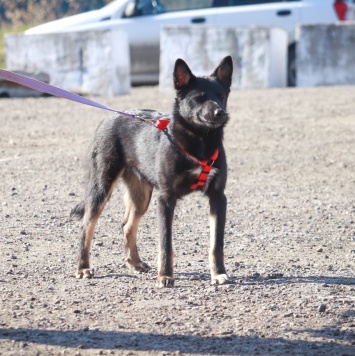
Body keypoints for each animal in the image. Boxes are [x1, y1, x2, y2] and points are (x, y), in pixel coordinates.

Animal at [71, 57, 235, 288]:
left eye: (220, 95)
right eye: (200, 97)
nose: (220, 113)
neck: (200, 141)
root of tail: (109, 118)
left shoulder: (218, 197)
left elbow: (216, 243)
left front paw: (218, 273)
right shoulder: (165, 199)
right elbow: (165, 243)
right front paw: (165, 276)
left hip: (141, 195)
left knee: (127, 226)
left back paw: (135, 263)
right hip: (102, 186)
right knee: (86, 226)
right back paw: (83, 267)